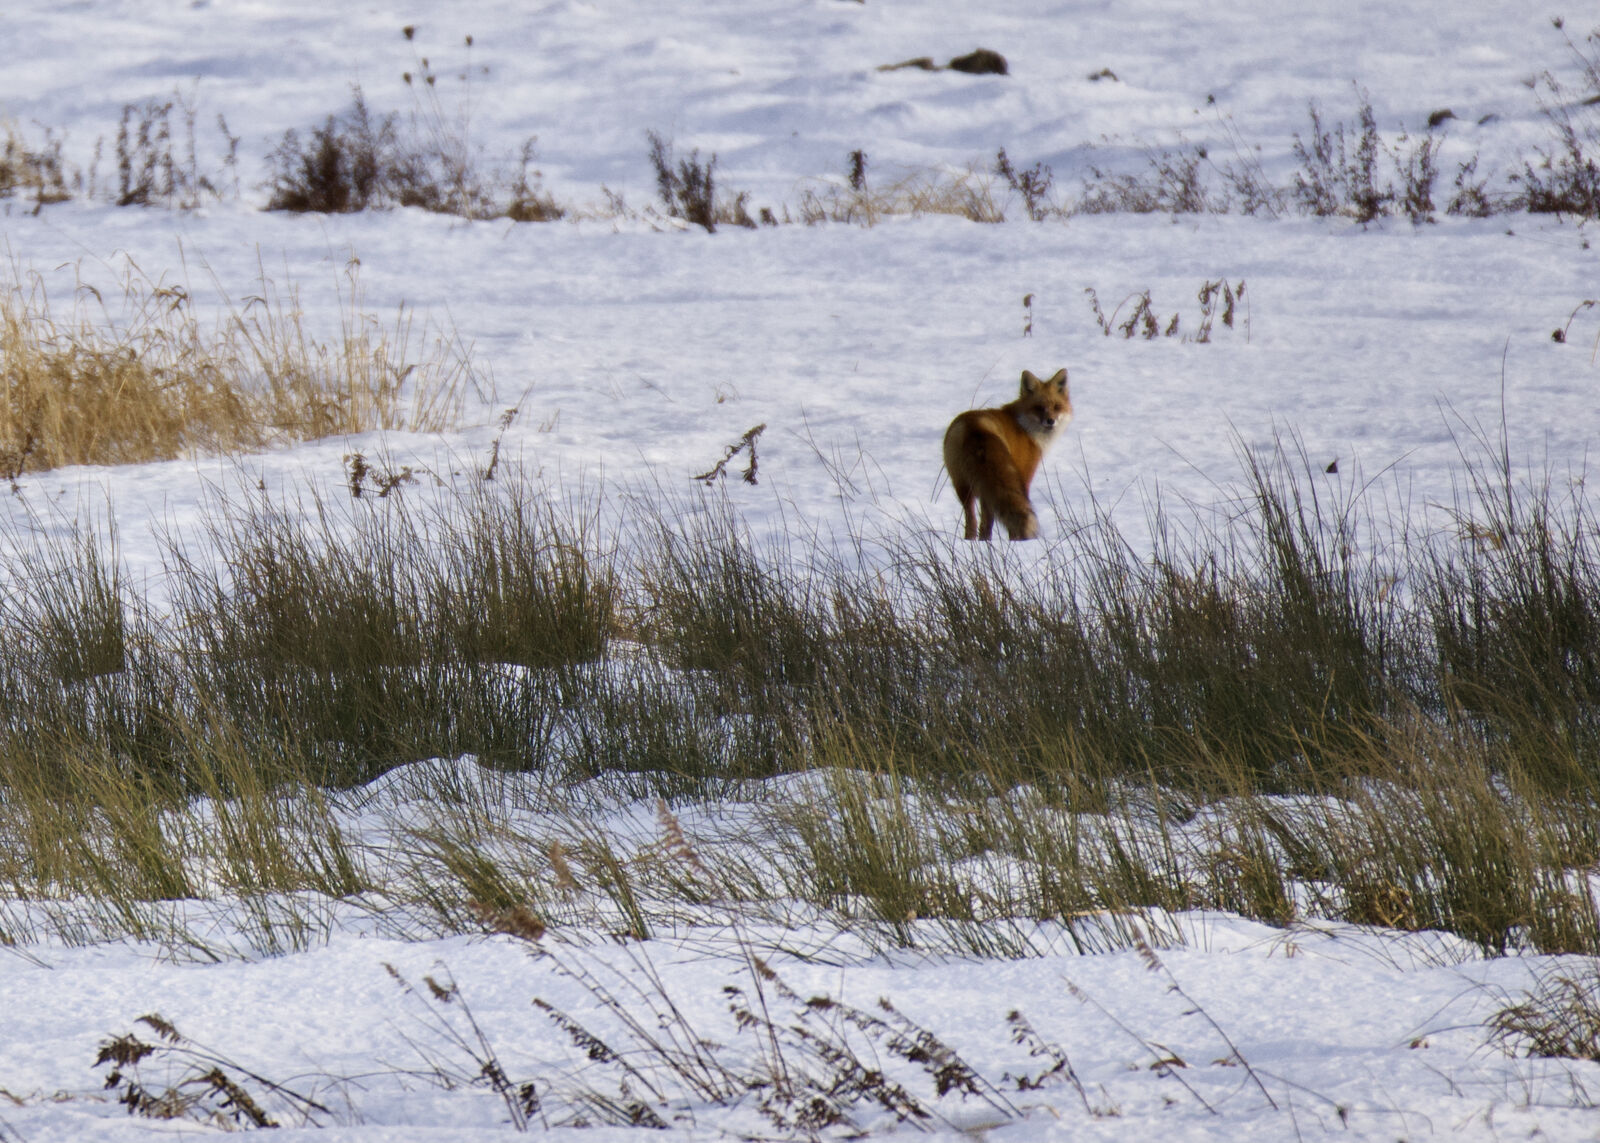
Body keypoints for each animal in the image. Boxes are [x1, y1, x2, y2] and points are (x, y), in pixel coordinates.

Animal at [942, 368, 1072, 541]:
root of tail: (975, 427)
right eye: (1038, 407)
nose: (1050, 421)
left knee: (974, 522)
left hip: (964, 485)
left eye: (1057, 406)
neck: (1024, 426)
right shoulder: (1024, 476)